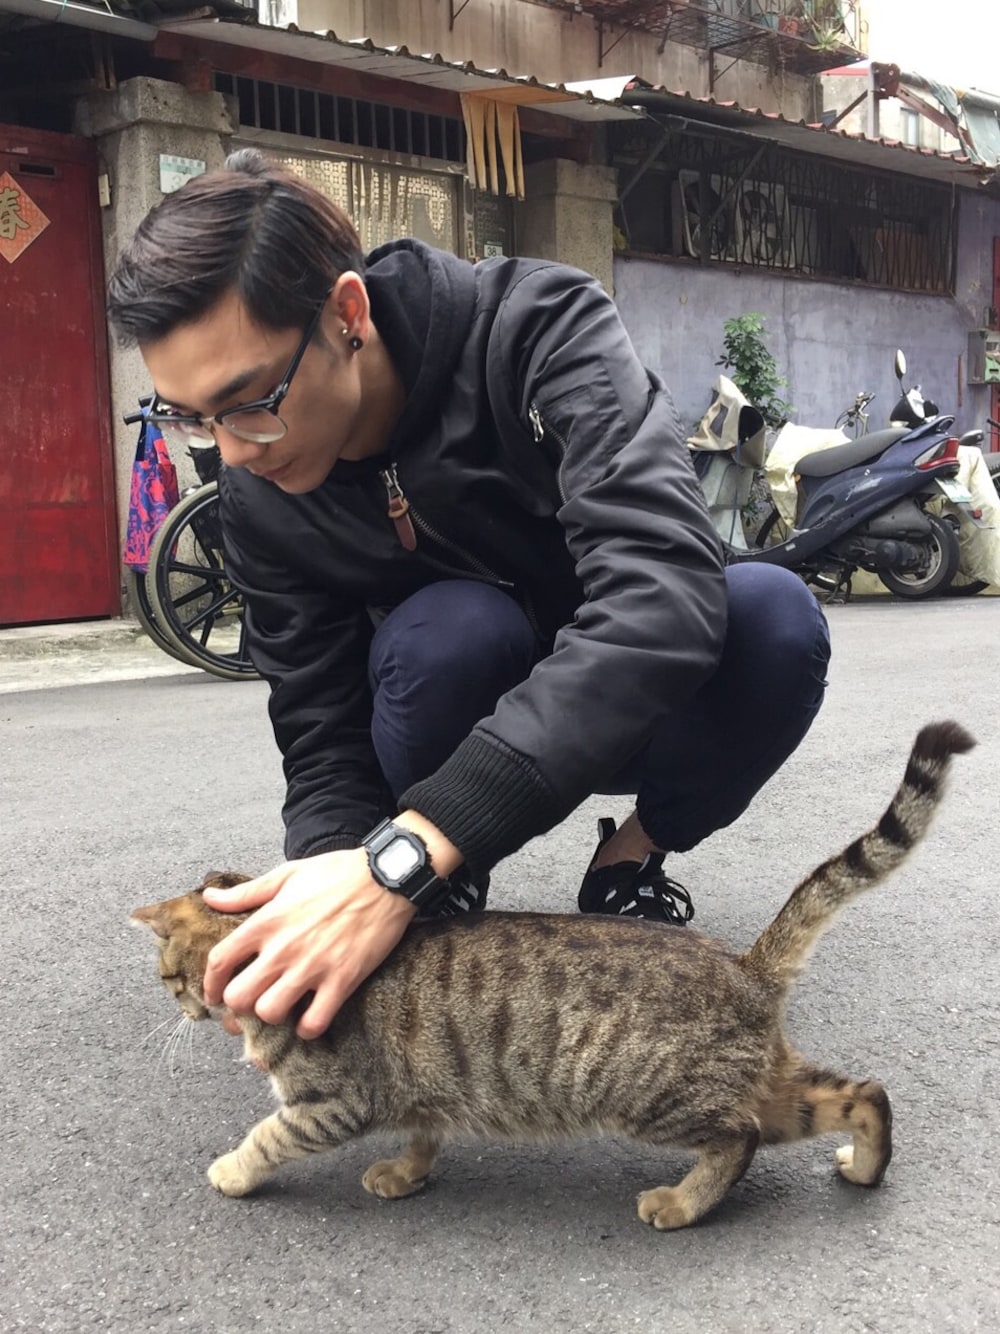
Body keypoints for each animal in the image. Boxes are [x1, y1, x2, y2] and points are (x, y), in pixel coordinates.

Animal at [132, 720, 973, 1231]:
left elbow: (267, 1136)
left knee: (741, 1140)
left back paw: (682, 1203)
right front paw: (405, 1174)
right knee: (862, 1093)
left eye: (169, 979)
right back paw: (863, 1167)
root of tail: (743, 964)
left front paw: (232, 1172)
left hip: (659, 1097)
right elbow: (424, 1135)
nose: (178, 1007)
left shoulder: (332, 1102)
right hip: (760, 1081)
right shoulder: (422, 1088)